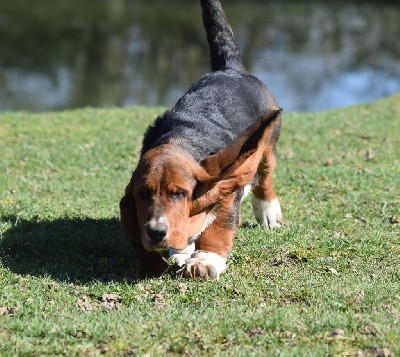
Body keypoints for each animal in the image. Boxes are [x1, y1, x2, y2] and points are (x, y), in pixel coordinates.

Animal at [120, 0, 282, 278]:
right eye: (143, 193)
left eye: (179, 193)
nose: (156, 232)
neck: (182, 140)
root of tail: (230, 68)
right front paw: (182, 250)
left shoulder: (225, 183)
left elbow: (218, 227)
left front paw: (206, 260)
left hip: (268, 144)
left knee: (264, 176)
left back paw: (268, 210)